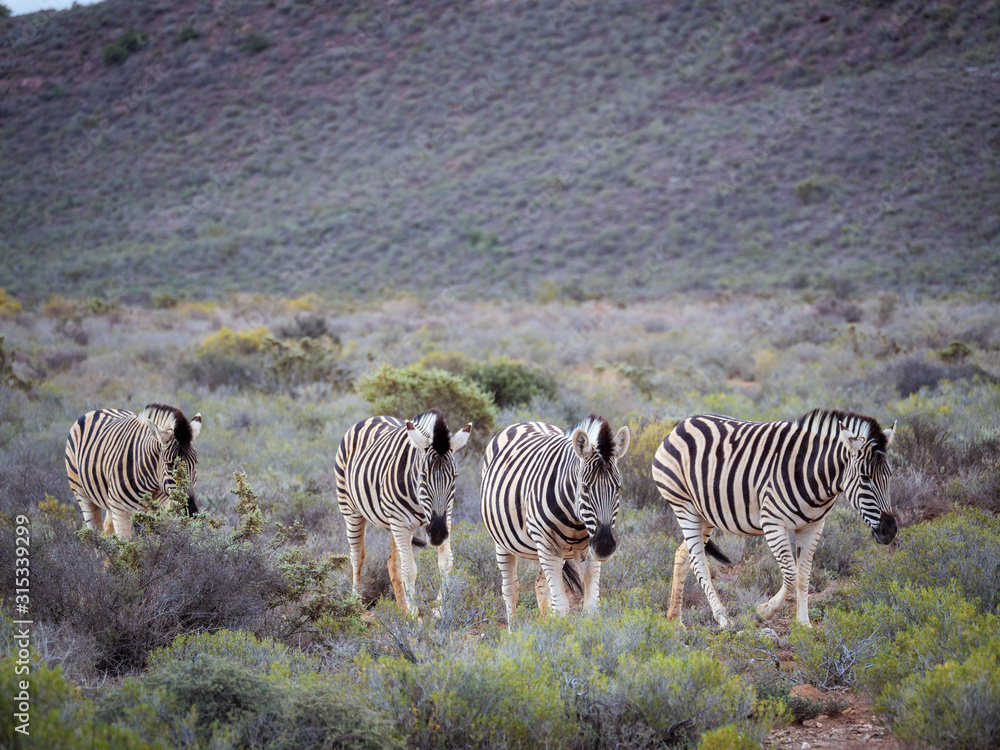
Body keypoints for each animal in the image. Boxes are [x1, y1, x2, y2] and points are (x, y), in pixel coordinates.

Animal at [65, 406, 203, 540]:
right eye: (170, 465)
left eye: (195, 463)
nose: (191, 512)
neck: (152, 485)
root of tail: (99, 410)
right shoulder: (121, 512)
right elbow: (126, 545)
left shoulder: (161, 508)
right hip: (82, 493)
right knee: (95, 532)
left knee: (108, 529)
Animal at [336, 412, 472, 616]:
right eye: (423, 477)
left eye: (454, 477)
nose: (438, 534)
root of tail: (375, 417)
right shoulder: (402, 524)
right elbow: (409, 570)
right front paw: (415, 615)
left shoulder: (445, 517)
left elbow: (446, 563)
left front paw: (439, 610)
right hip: (351, 510)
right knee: (357, 556)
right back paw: (355, 602)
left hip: (393, 524)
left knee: (392, 565)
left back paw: (402, 612)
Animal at [480, 418, 628, 628]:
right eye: (584, 487)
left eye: (618, 487)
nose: (605, 546)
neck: (576, 522)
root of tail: (528, 422)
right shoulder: (550, 549)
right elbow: (562, 607)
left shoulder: (587, 553)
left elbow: (591, 608)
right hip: (504, 542)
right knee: (510, 588)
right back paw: (513, 632)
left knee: (541, 587)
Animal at [652, 408, 896, 632]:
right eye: (865, 478)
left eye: (890, 476)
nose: (890, 531)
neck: (812, 473)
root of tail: (681, 424)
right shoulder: (773, 524)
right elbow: (791, 575)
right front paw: (765, 610)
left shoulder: (813, 527)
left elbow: (804, 576)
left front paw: (804, 623)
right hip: (684, 506)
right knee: (699, 562)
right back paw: (722, 619)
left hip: (705, 513)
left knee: (683, 555)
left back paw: (674, 620)